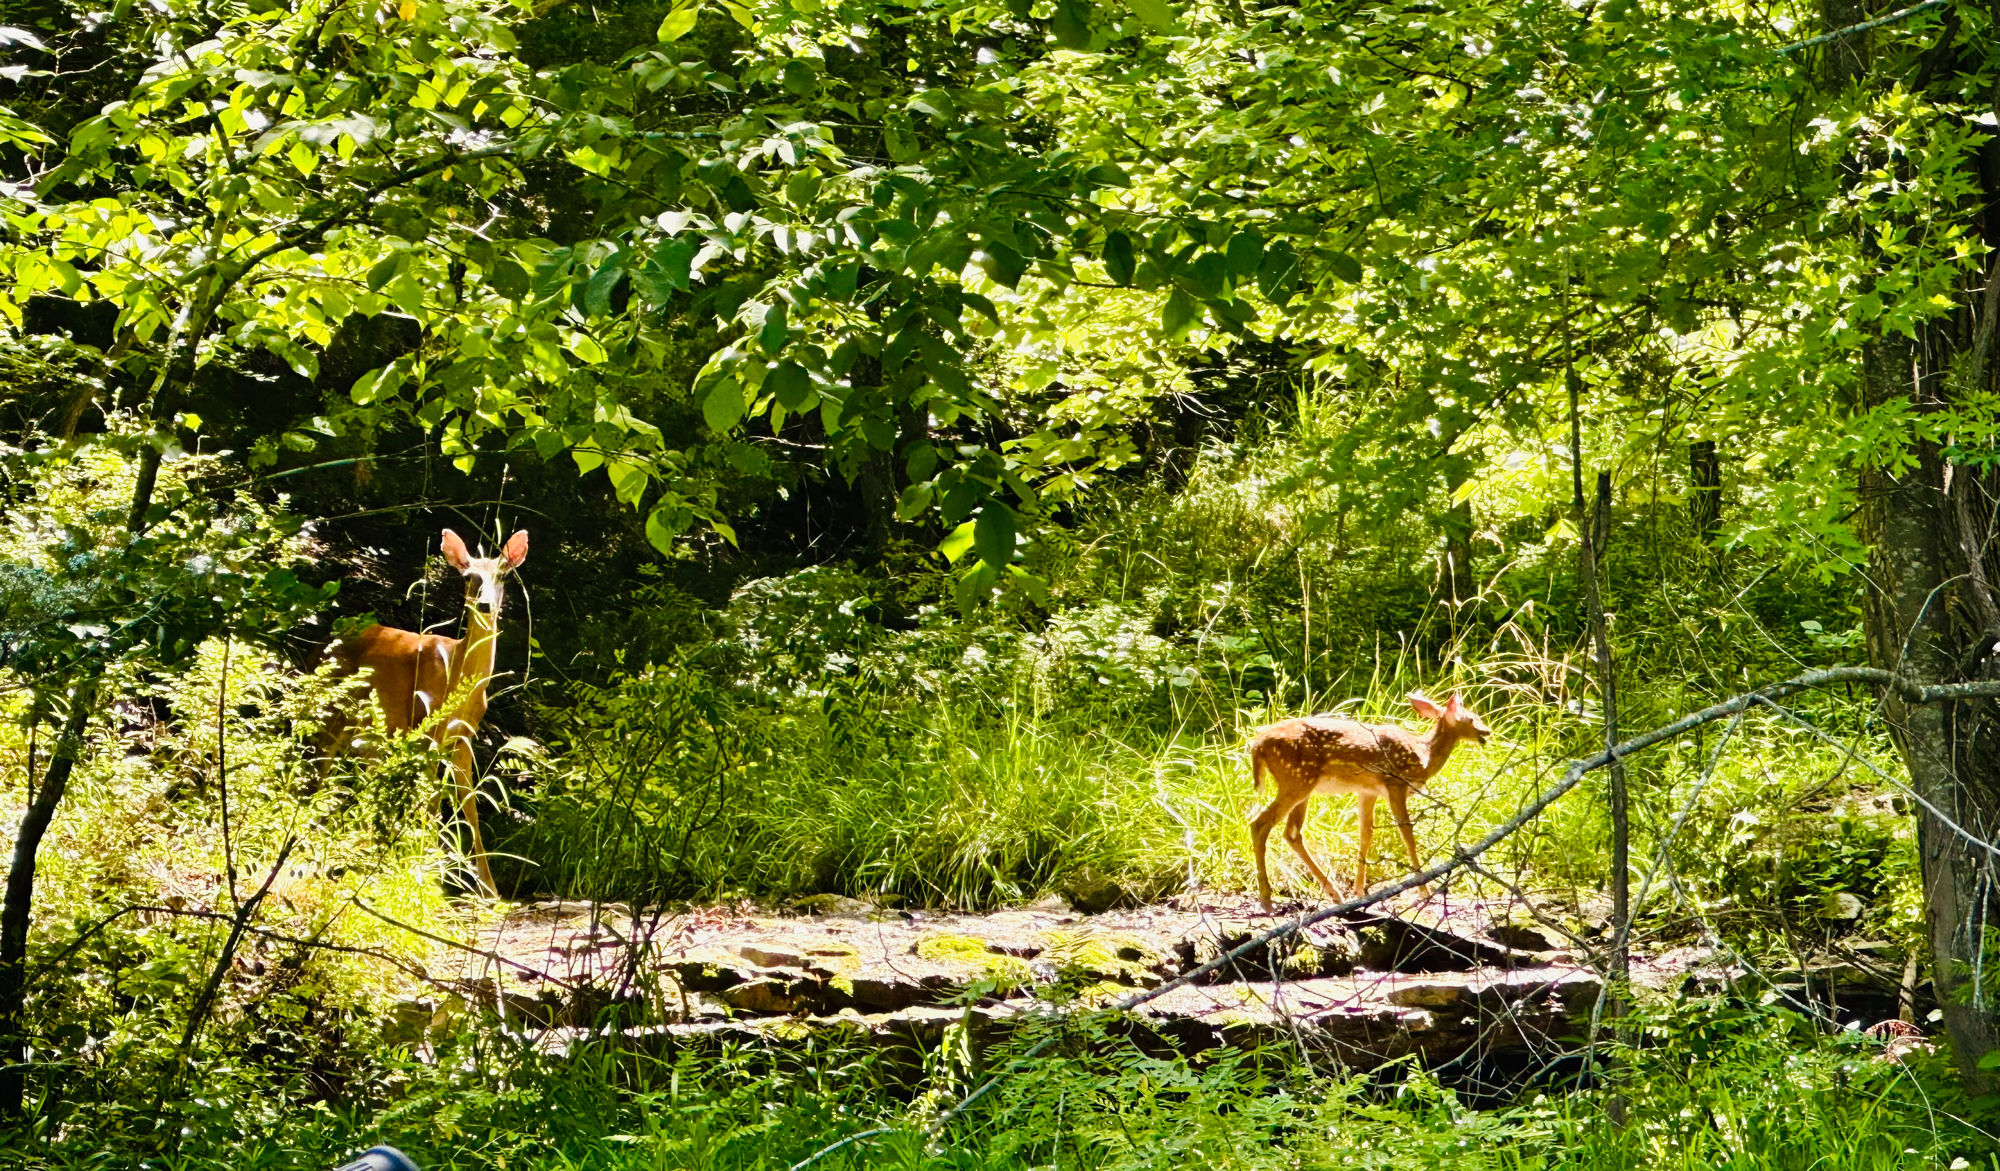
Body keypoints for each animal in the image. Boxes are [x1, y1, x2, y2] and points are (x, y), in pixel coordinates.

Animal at [324, 529, 527, 898]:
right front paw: (428, 873)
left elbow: (469, 805)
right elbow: (430, 801)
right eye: (469, 577)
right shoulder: (425, 726)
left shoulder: (462, 738)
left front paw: (490, 890)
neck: (458, 678)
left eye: (503, 575)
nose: (485, 604)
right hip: (331, 712)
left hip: (367, 737)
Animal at [1248, 692, 1491, 914]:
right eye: (1472, 718)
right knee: (1260, 824)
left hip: (1302, 784)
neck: (1424, 755)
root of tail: (1257, 746)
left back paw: (1334, 894)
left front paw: (1359, 892)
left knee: (1292, 832)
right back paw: (1267, 901)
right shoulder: (1395, 783)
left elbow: (1366, 834)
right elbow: (1407, 834)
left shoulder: (1367, 791)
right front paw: (1424, 889)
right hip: (1296, 778)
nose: (1487, 732)